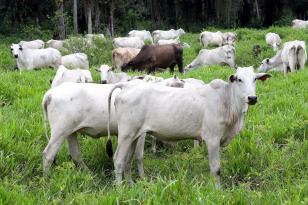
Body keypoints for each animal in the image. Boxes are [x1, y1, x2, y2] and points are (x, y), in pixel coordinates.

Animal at [107, 66, 270, 187]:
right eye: (239, 79)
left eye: (255, 79)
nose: (252, 98)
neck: (227, 101)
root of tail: (126, 85)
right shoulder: (212, 139)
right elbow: (216, 169)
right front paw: (217, 190)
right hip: (126, 135)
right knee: (118, 160)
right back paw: (120, 190)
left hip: (134, 136)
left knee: (128, 161)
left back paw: (130, 186)